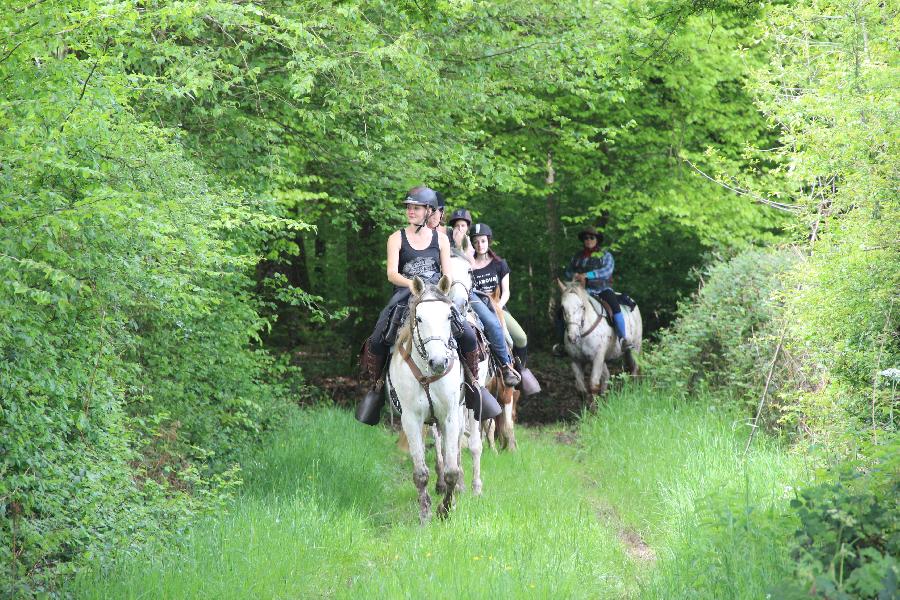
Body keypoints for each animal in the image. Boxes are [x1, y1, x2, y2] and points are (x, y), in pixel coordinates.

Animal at [388, 276, 468, 520]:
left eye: (449, 316)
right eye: (419, 318)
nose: (439, 362)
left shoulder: (450, 416)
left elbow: (452, 470)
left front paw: (446, 509)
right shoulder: (411, 420)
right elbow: (420, 472)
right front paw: (425, 513)